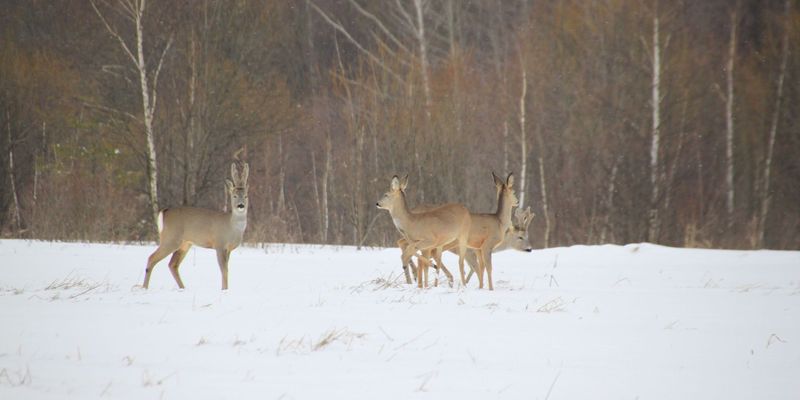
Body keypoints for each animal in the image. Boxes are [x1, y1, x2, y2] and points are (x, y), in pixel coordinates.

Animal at [143, 162, 250, 290]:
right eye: (234, 196)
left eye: (246, 196)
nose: (240, 205)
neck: (232, 228)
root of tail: (164, 211)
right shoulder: (219, 244)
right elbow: (224, 270)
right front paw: (224, 290)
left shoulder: (228, 249)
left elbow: (227, 269)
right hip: (171, 238)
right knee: (152, 258)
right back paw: (144, 288)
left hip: (185, 244)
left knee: (172, 264)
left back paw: (183, 288)